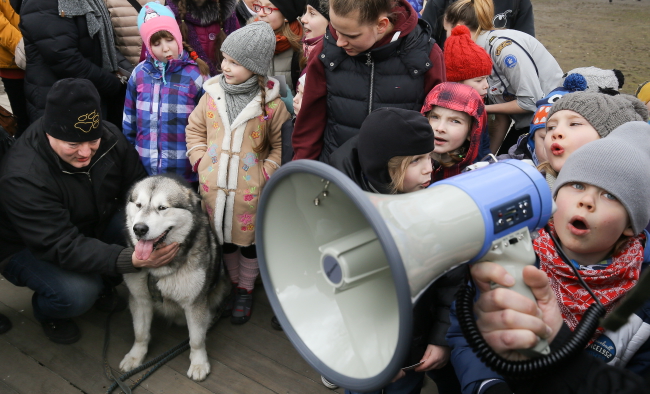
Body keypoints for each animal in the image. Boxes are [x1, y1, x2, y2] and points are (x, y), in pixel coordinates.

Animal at [120, 175, 229, 382]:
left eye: (162, 207)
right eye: (138, 205)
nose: (139, 229)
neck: (159, 270)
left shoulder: (195, 303)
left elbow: (196, 339)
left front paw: (199, 363)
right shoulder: (139, 299)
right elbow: (140, 333)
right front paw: (136, 356)